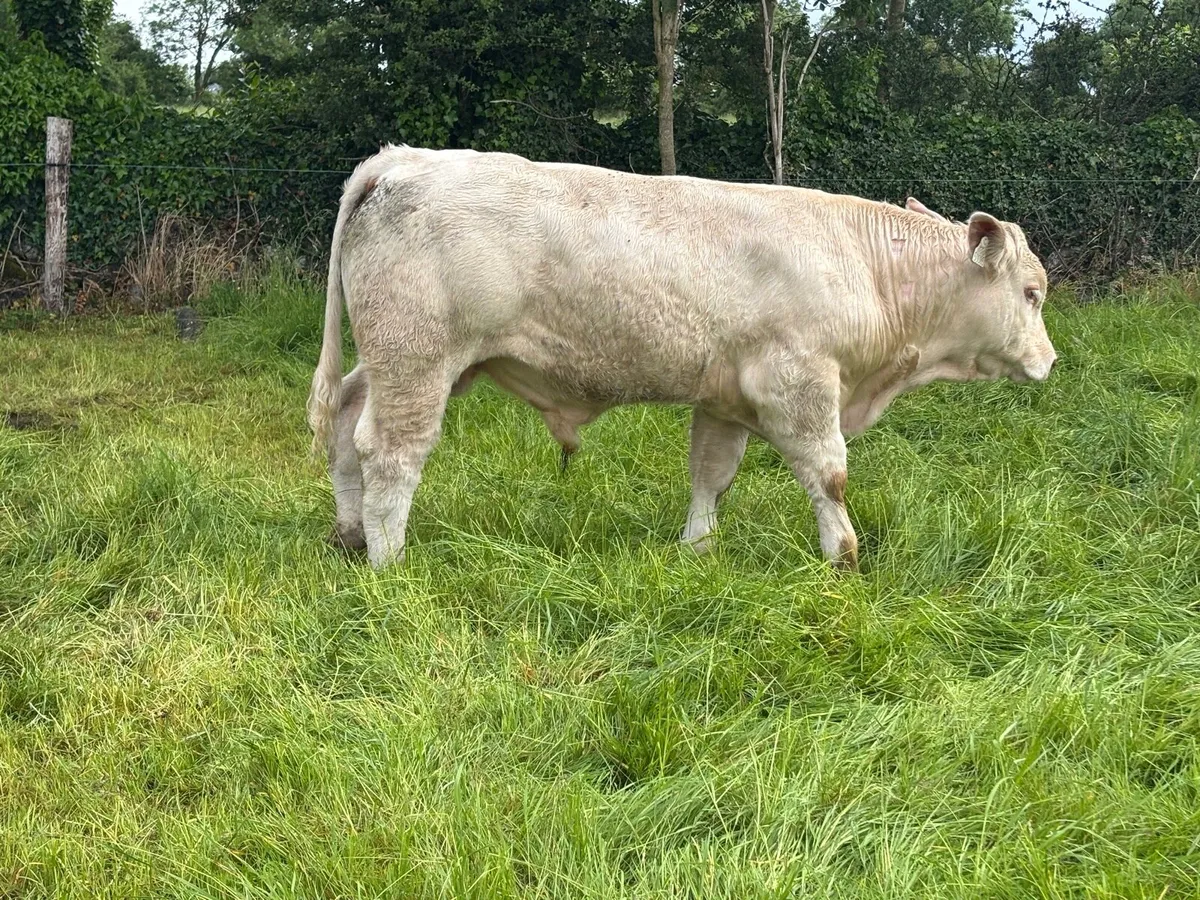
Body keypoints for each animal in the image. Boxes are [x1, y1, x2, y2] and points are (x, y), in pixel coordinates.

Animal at [308, 145, 1056, 570]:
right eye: (1031, 292)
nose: (1049, 363)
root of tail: (399, 158)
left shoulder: (725, 396)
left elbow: (711, 475)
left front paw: (697, 551)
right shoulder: (800, 384)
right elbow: (830, 474)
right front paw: (842, 557)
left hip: (403, 360)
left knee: (345, 421)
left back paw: (348, 536)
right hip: (419, 356)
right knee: (391, 452)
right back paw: (390, 563)